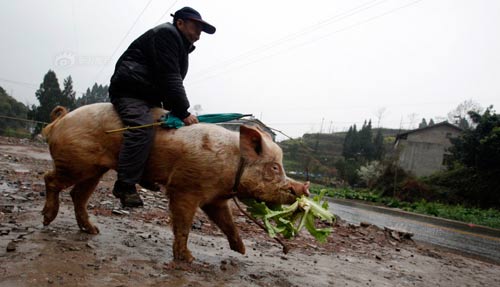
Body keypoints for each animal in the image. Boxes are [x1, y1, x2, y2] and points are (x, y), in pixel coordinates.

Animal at [42, 104, 308, 264]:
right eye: (275, 168)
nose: (303, 188)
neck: (233, 165)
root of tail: (59, 121)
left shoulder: (215, 198)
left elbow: (227, 223)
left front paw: (241, 250)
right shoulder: (184, 187)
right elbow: (183, 225)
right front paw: (188, 259)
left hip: (95, 169)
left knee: (78, 195)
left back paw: (93, 230)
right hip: (76, 163)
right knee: (50, 179)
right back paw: (47, 219)